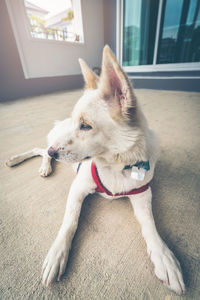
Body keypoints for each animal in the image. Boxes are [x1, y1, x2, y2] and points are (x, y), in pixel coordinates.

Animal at [5, 45, 184, 294]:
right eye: (78, 122)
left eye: (86, 126)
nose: (54, 151)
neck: (115, 166)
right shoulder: (78, 187)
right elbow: (69, 221)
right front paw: (57, 254)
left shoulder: (142, 194)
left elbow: (150, 225)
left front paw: (164, 257)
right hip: (55, 148)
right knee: (39, 150)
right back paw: (28, 162)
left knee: (41, 150)